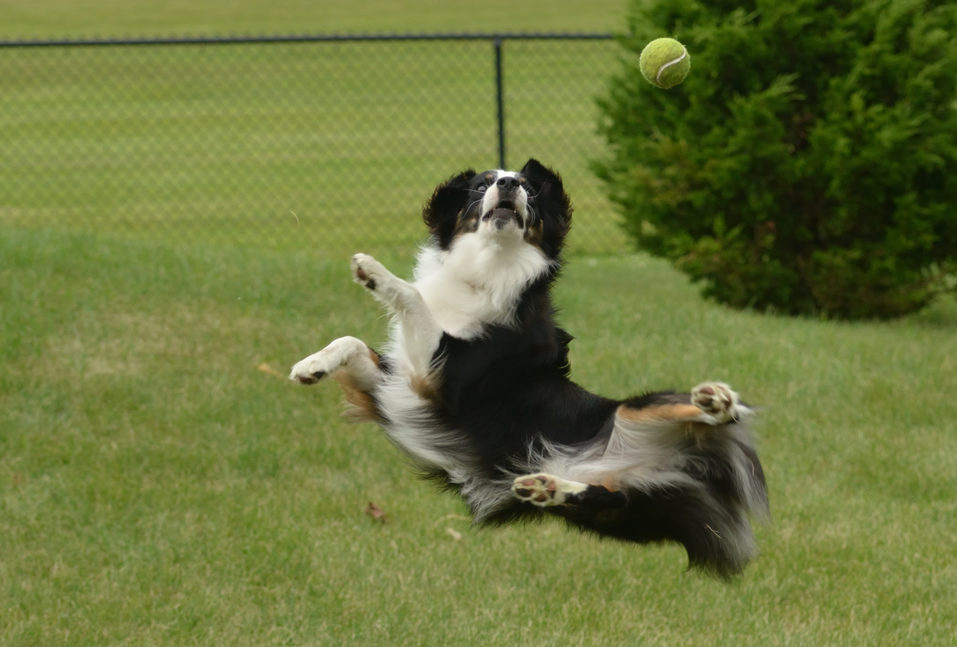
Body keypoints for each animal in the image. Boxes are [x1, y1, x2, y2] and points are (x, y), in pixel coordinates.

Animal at [288, 158, 764, 576]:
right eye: (482, 184)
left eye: (529, 188)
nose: (509, 184)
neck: (489, 268)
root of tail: (684, 465)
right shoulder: (398, 384)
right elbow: (352, 343)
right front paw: (311, 365)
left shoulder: (446, 377)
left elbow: (412, 296)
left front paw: (373, 272)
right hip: (621, 507)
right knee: (606, 499)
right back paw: (547, 487)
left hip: (638, 412)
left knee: (713, 415)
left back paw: (717, 399)